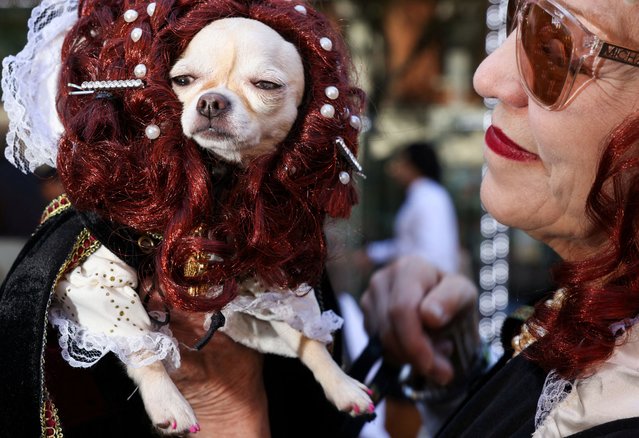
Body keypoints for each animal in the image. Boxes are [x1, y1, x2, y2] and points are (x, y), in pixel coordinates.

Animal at [57, 17, 376, 434]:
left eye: (266, 86)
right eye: (182, 80)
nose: (211, 101)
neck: (220, 177)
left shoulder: (273, 281)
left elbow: (308, 339)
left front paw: (341, 384)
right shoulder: (98, 271)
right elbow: (141, 346)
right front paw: (168, 402)